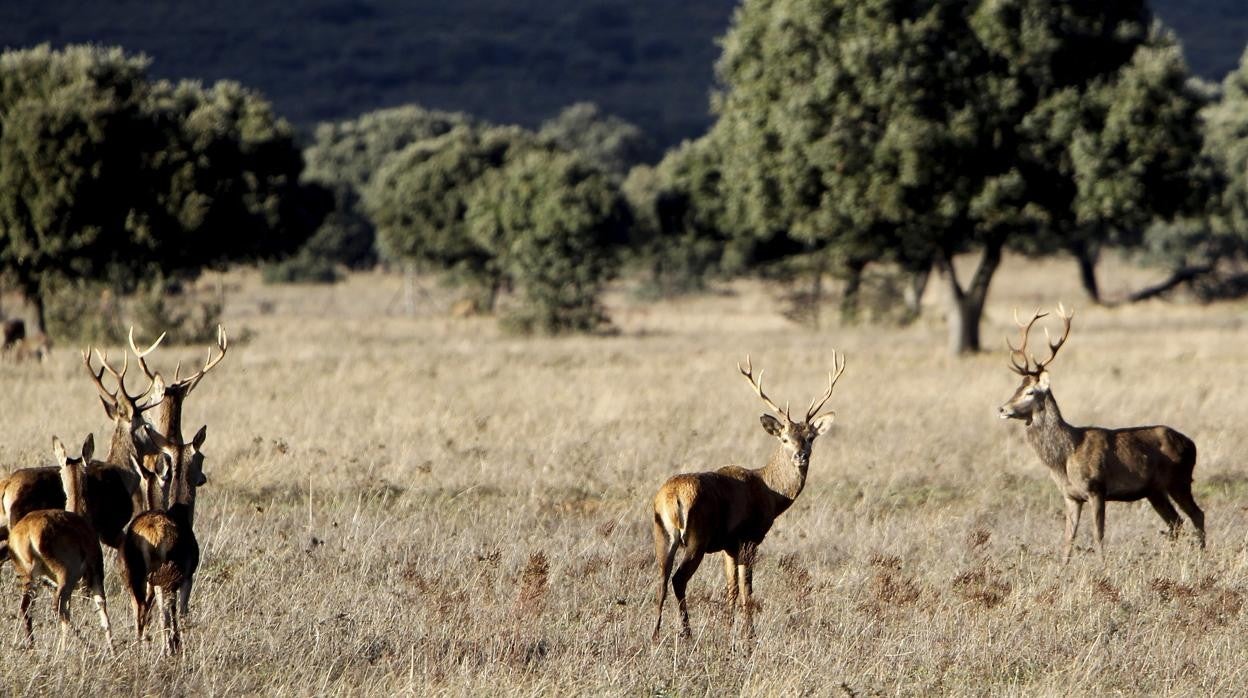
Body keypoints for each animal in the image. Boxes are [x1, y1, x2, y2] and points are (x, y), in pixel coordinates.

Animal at [8, 434, 114, 654]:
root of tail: (28, 532)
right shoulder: (95, 574)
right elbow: (103, 610)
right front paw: (113, 650)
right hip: (66, 575)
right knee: (57, 606)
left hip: (30, 577)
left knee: (27, 607)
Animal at [648, 354, 843, 644]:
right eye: (785, 439)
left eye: (810, 437)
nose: (801, 456)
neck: (770, 493)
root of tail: (671, 498)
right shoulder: (749, 536)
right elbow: (746, 588)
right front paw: (749, 635)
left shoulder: (728, 545)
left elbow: (731, 588)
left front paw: (729, 628)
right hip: (697, 536)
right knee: (678, 579)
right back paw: (687, 633)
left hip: (662, 533)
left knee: (661, 578)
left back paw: (655, 634)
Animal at [998, 305, 1203, 561]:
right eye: (1017, 388)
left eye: (1030, 392)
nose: (1002, 408)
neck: (1065, 457)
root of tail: (1191, 444)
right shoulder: (1071, 496)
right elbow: (1068, 539)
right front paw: (1063, 566)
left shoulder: (1096, 488)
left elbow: (1098, 534)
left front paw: (1102, 564)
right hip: (1154, 490)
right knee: (1176, 523)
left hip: (1179, 479)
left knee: (1197, 515)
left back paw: (1202, 554)